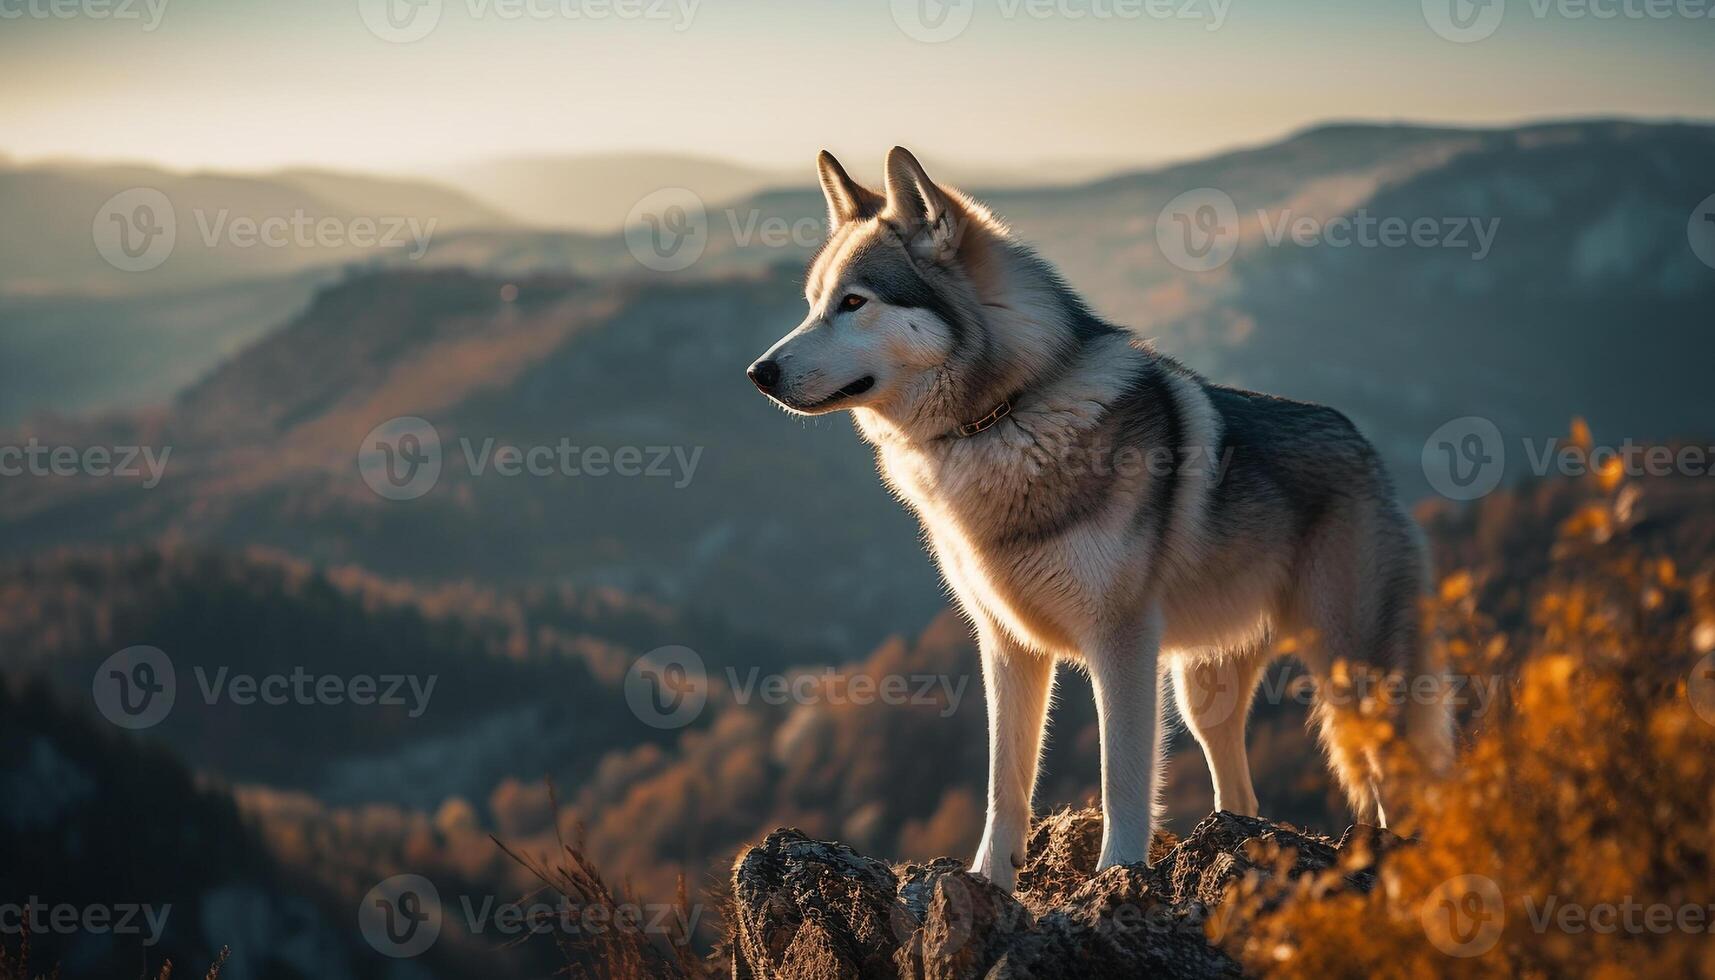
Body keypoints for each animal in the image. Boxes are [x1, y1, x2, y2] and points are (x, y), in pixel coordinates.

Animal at [744, 149, 1454, 892]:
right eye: (812, 305)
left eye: (854, 303)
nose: (758, 372)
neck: (1002, 416)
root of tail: (1364, 444)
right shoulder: (1007, 645)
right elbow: (1005, 785)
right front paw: (988, 880)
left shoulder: (1122, 645)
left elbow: (1123, 775)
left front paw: (1118, 874)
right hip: (1205, 691)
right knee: (1240, 788)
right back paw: (1238, 841)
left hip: (1353, 679)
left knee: (1392, 780)